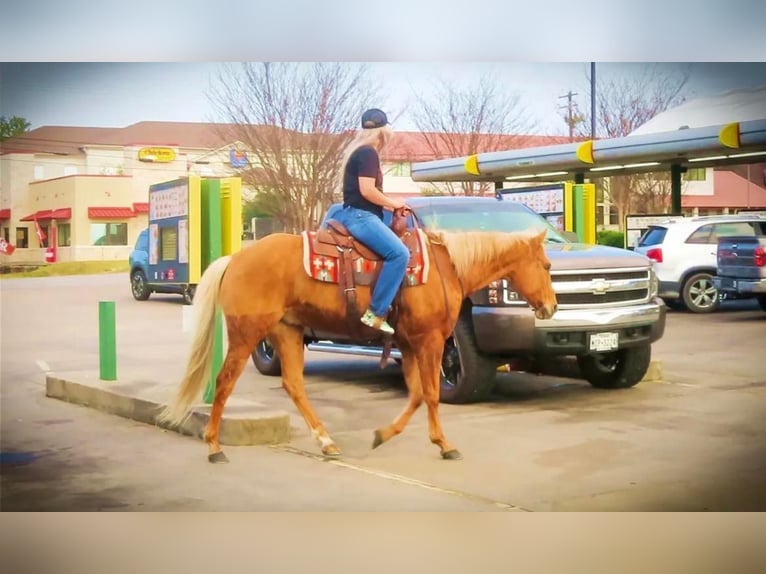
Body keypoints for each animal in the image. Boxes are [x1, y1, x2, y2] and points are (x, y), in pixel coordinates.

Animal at [160, 218, 560, 466]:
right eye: (546, 265)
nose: (552, 306)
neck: (447, 268)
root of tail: (237, 257)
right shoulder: (430, 341)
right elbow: (431, 394)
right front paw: (446, 446)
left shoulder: (410, 343)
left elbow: (417, 394)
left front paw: (383, 434)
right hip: (248, 334)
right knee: (225, 382)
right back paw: (214, 447)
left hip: (287, 332)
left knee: (294, 385)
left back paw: (326, 442)